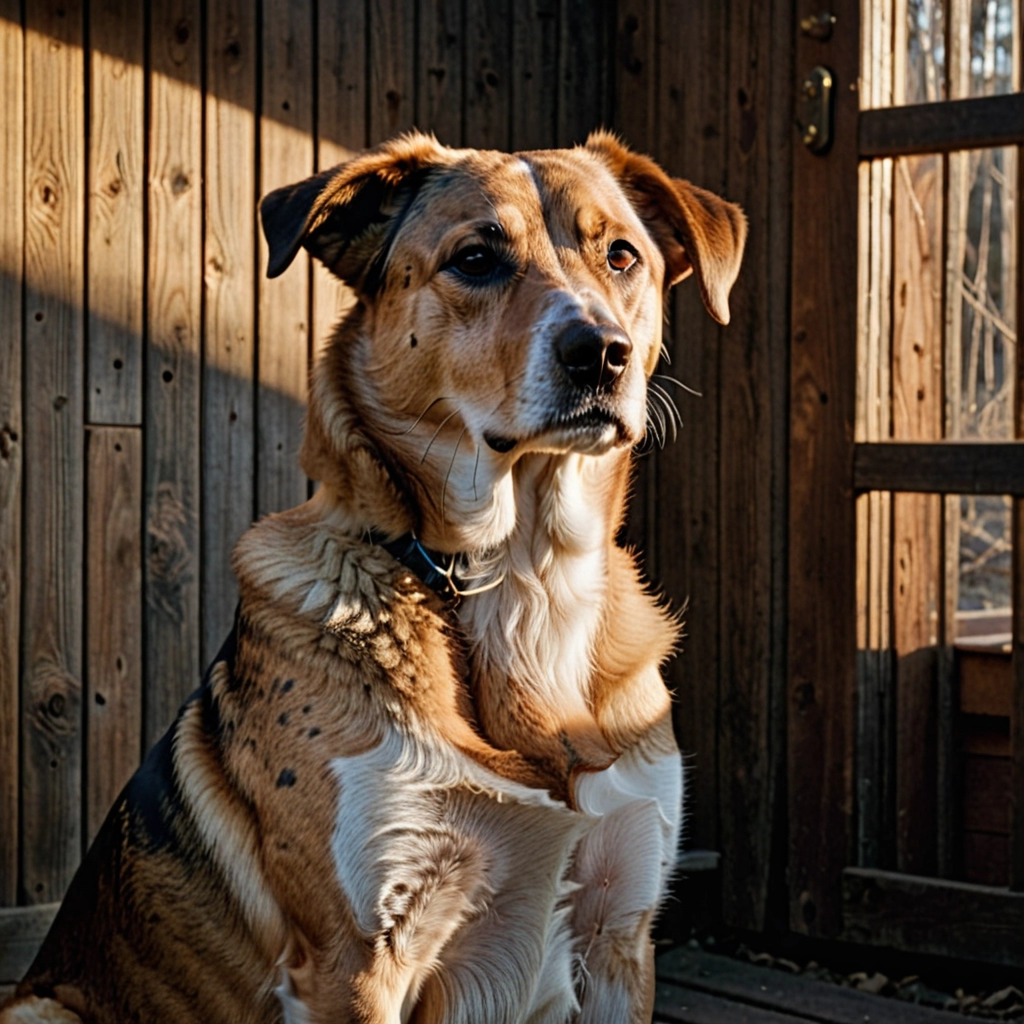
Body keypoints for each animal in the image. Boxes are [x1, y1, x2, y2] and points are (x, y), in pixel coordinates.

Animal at [4, 132, 749, 1019]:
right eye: (475, 258)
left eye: (622, 256)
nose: (601, 353)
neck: (522, 578)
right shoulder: (356, 960)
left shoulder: (619, 938)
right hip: (40, 1004)